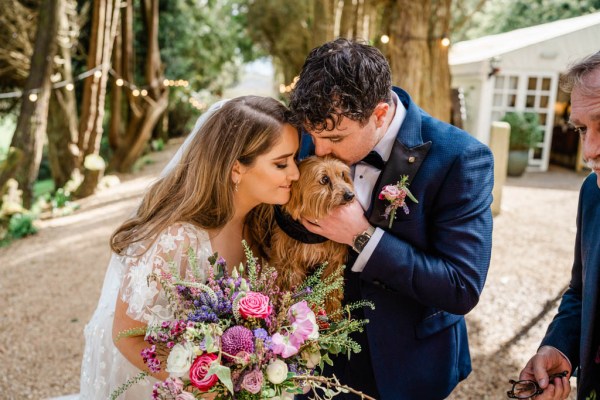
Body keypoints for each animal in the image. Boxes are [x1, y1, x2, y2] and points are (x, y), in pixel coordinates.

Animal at [270, 155, 354, 314]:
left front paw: (333, 312)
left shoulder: (334, 261)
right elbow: (293, 284)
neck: (310, 234)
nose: (350, 195)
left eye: (342, 175)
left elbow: (332, 287)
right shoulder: (291, 262)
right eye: (324, 179)